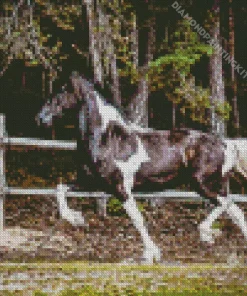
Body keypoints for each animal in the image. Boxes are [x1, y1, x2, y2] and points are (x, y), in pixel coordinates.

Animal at [36, 73, 247, 262]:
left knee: (228, 204)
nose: (40, 118)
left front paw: (152, 253)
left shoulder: (120, 188)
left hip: (203, 184)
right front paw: (77, 218)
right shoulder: (91, 182)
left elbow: (137, 219)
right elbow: (60, 189)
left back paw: (205, 233)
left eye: (61, 91)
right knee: (234, 210)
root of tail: (226, 143)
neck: (107, 139)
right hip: (212, 185)